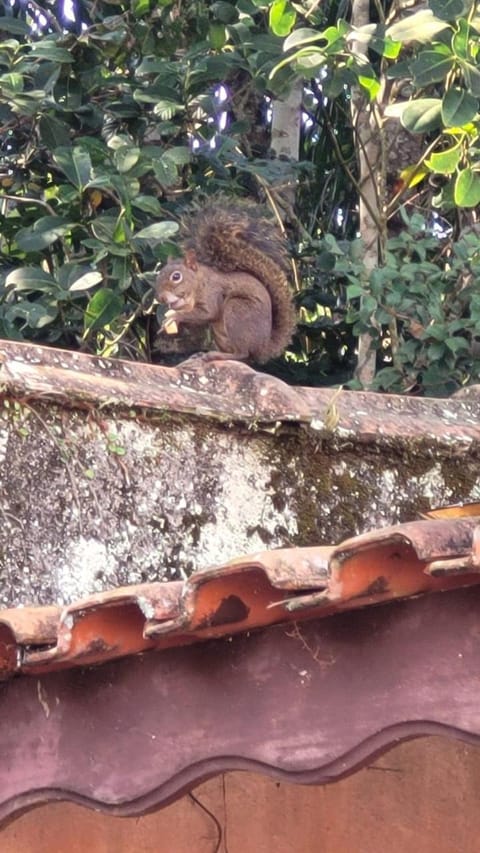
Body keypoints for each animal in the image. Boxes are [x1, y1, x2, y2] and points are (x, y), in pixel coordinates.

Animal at [156, 195, 294, 362]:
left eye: (176, 276)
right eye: (159, 274)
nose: (160, 298)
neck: (198, 283)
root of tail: (263, 347)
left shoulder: (212, 293)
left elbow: (209, 313)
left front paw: (176, 316)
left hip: (236, 310)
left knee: (242, 353)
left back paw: (215, 355)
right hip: (220, 333)